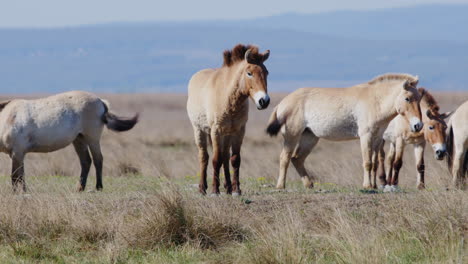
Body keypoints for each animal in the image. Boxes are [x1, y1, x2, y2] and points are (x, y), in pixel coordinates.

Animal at [0, 91, 139, 192]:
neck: (7, 117)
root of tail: (101, 102)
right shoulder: (19, 154)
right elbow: (21, 175)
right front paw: (24, 191)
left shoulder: (17, 152)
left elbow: (15, 176)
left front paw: (16, 192)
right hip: (79, 140)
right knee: (86, 161)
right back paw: (80, 188)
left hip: (92, 138)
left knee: (98, 159)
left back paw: (98, 187)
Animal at [186, 43, 270, 196]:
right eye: (249, 73)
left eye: (266, 72)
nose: (264, 101)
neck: (228, 96)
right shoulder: (216, 131)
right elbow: (215, 160)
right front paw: (215, 190)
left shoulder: (239, 131)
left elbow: (235, 159)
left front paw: (236, 190)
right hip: (200, 130)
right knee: (204, 157)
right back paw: (202, 188)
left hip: (226, 135)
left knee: (225, 156)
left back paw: (228, 187)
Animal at [266, 72, 424, 190]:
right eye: (407, 98)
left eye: (419, 98)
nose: (418, 125)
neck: (375, 100)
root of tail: (283, 102)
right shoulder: (365, 136)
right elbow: (367, 162)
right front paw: (367, 186)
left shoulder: (377, 138)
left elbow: (374, 163)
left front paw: (373, 186)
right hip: (292, 135)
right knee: (285, 157)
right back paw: (280, 186)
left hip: (310, 137)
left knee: (297, 159)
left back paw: (309, 184)